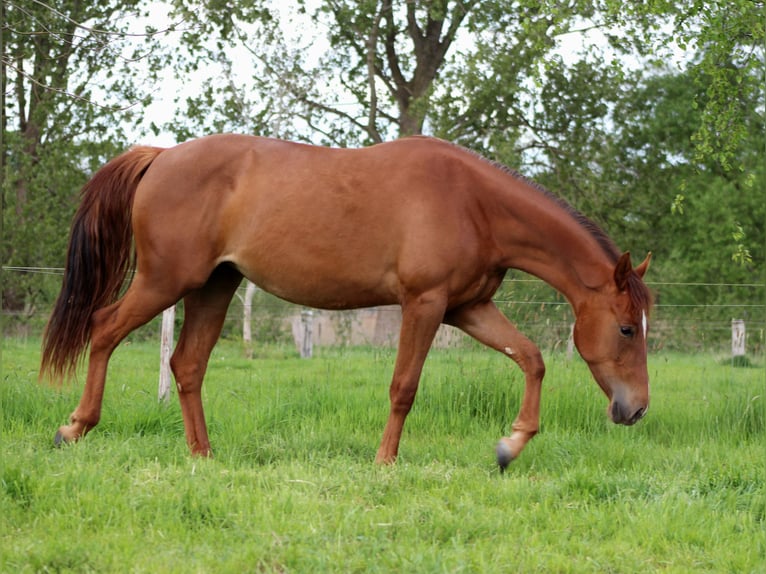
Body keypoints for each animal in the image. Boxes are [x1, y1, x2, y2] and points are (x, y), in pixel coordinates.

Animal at [40, 134, 652, 469]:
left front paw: (511, 445)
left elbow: (531, 358)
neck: (473, 203)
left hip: (215, 286)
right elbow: (404, 387)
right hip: (164, 282)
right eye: (627, 328)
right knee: (103, 329)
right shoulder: (425, 305)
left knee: (187, 364)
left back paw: (203, 455)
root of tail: (162, 156)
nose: (637, 409)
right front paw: (385, 462)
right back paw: (74, 427)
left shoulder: (468, 309)